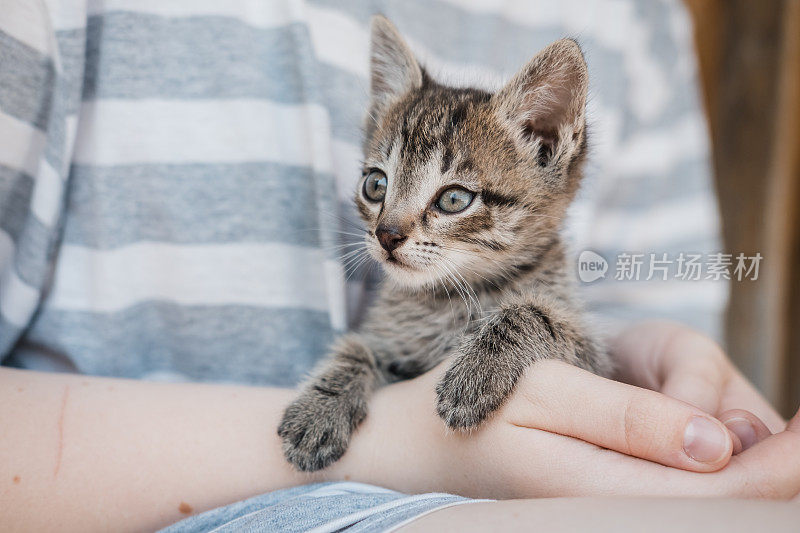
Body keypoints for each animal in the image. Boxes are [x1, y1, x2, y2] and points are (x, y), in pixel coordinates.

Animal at [278, 15, 608, 470]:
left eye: (454, 199)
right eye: (376, 184)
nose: (386, 235)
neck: (444, 299)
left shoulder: (595, 361)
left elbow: (534, 312)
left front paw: (478, 372)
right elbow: (358, 345)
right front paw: (319, 406)